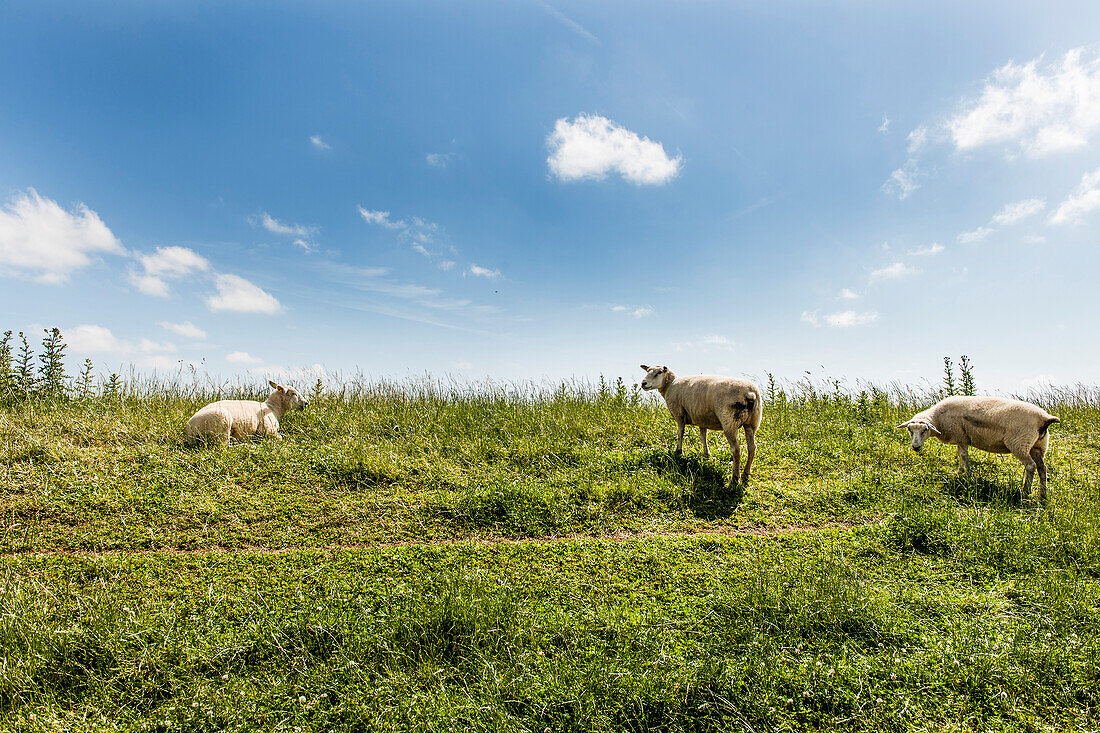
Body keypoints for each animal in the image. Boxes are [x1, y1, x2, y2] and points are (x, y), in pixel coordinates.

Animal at [897, 394, 1060, 501]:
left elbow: (964, 455)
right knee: (1042, 468)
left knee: (1030, 466)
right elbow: (960, 454)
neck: (939, 417)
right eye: (910, 430)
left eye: (924, 430)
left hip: (1019, 443)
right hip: (1038, 446)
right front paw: (960, 471)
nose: (915, 447)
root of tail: (1045, 418)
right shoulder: (961, 438)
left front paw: (967, 475)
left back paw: (1026, 492)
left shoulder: (961, 435)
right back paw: (1043, 495)